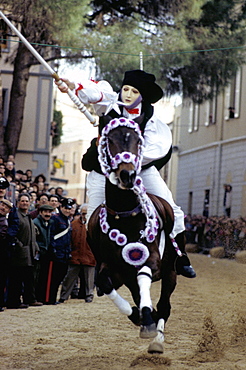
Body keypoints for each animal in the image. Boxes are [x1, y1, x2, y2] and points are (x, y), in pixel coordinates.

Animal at [87, 118, 178, 352]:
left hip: (171, 270)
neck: (126, 214)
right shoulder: (115, 270)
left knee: (165, 305)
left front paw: (147, 318)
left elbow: (145, 274)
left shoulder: (152, 260)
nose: (127, 175)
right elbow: (105, 283)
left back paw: (157, 341)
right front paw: (138, 316)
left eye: (139, 140)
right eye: (109, 140)